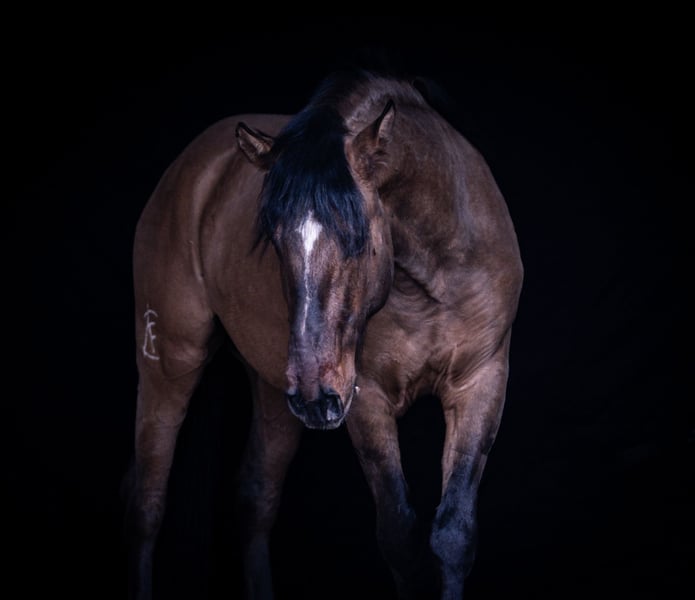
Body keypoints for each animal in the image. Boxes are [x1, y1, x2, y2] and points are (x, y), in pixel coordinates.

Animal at [126, 68, 523, 599]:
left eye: (359, 235)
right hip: (170, 361)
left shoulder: (481, 382)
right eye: (274, 239)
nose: (317, 396)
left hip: (274, 390)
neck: (433, 275)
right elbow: (400, 537)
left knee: (256, 499)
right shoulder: (366, 397)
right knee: (147, 503)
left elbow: (454, 535)